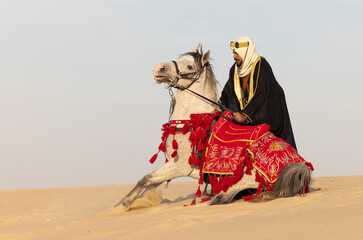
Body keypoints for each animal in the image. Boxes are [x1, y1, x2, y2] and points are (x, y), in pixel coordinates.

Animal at [114, 44, 312, 211]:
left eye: (189, 66)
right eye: (178, 59)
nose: (158, 68)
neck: (193, 120)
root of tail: (300, 166)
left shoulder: (180, 167)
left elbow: (145, 179)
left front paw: (120, 207)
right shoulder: (173, 165)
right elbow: (150, 183)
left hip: (241, 181)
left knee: (220, 200)